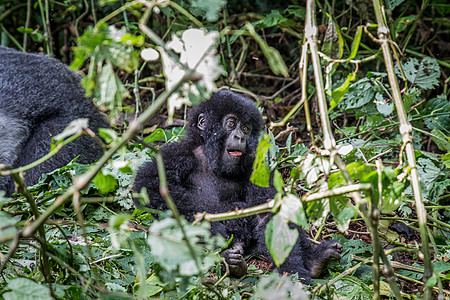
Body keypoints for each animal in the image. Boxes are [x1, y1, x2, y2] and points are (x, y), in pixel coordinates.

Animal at [134, 89, 342, 284]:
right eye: (232, 124)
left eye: (246, 128)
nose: (240, 137)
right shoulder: (176, 154)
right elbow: (151, 186)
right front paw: (212, 232)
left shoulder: (254, 166)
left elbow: (268, 211)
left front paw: (292, 272)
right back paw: (226, 260)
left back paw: (315, 259)